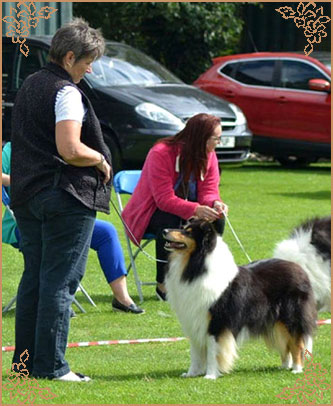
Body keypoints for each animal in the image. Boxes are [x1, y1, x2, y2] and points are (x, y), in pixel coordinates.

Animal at [163, 220, 316, 380]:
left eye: (188, 232)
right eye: (183, 227)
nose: (164, 230)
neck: (196, 266)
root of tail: (298, 267)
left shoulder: (216, 322)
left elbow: (212, 351)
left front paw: (210, 375)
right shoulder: (194, 321)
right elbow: (195, 352)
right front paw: (191, 373)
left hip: (291, 318)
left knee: (297, 344)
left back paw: (297, 369)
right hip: (276, 322)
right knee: (285, 344)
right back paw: (285, 366)